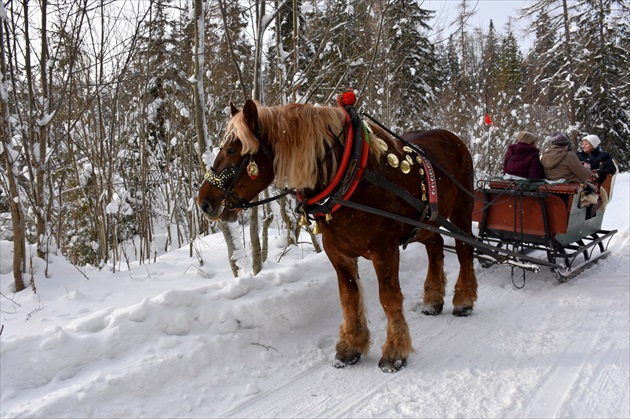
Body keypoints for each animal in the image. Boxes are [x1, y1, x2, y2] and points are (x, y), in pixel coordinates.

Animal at [198, 99, 478, 374]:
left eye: (232, 150)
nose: (204, 202)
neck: (350, 177)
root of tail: (452, 136)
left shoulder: (385, 250)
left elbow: (388, 298)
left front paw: (395, 353)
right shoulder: (338, 254)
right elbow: (348, 298)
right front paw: (351, 348)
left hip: (462, 210)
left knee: (464, 248)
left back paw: (463, 300)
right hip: (426, 224)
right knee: (436, 246)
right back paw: (433, 300)